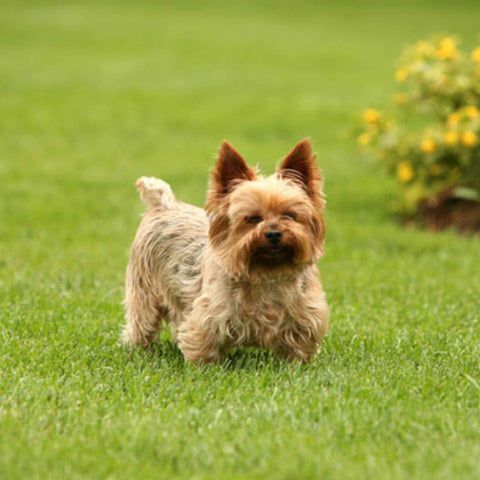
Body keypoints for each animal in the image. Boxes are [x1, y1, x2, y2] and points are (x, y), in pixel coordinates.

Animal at [122, 139, 328, 364]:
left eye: (290, 216)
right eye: (252, 218)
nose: (274, 233)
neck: (267, 273)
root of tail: (164, 206)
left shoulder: (306, 316)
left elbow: (298, 347)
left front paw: (295, 366)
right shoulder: (208, 315)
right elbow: (202, 343)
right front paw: (204, 368)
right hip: (144, 288)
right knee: (142, 322)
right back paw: (139, 350)